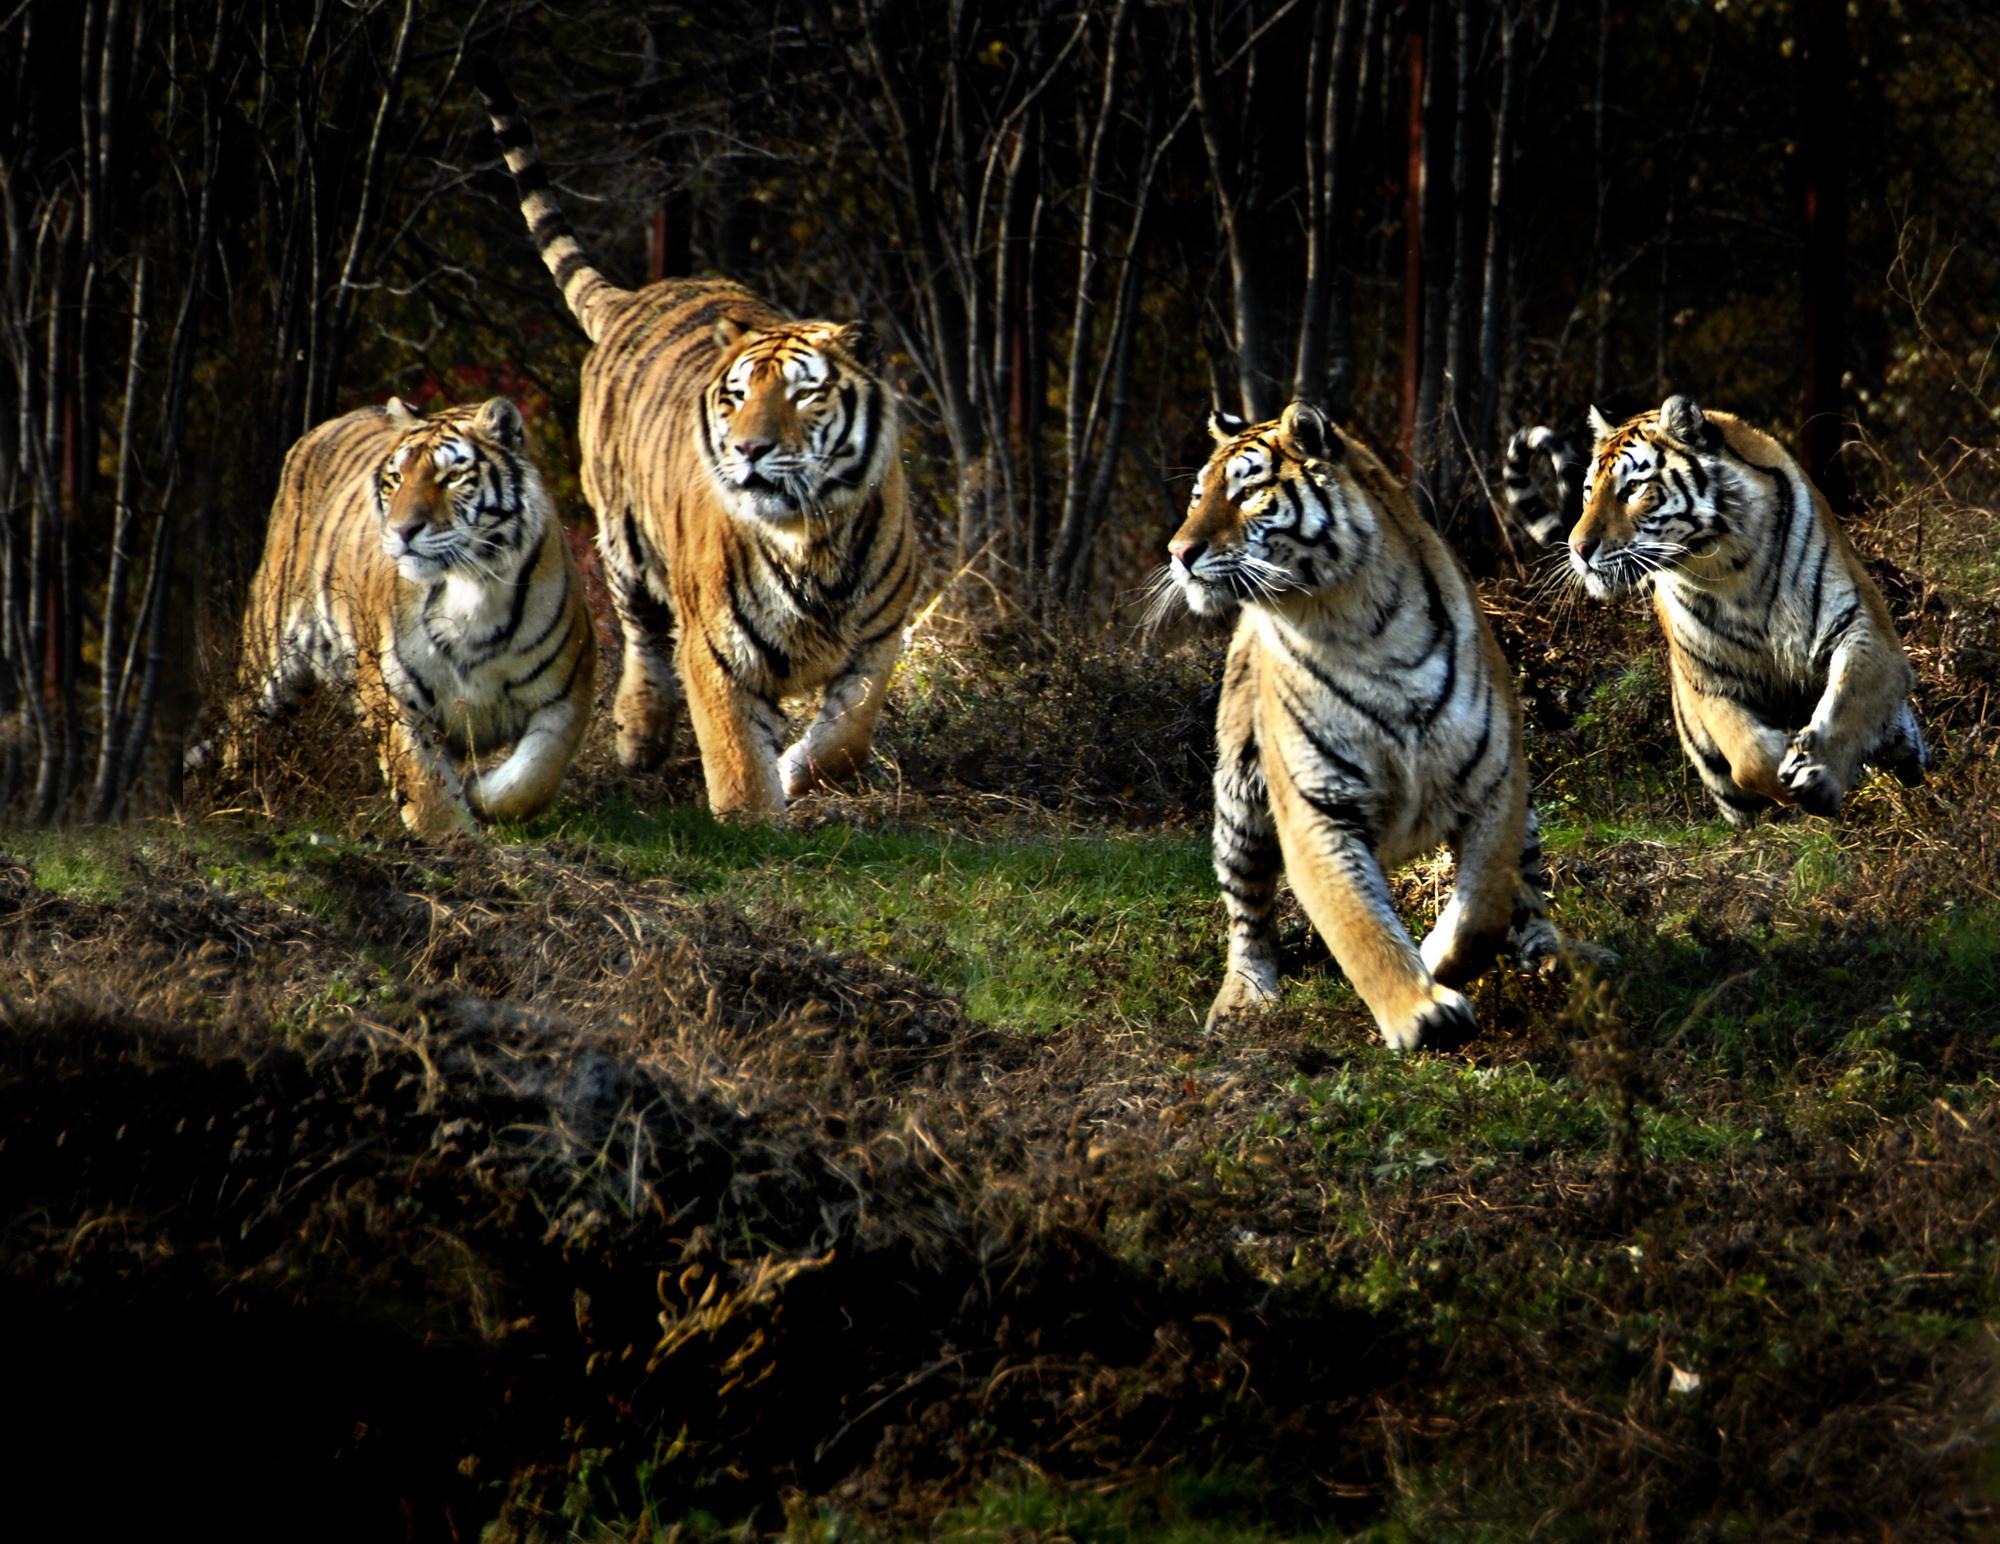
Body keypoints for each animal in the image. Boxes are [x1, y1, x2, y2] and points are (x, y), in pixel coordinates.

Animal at [199, 392, 596, 840]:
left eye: (452, 478)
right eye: (396, 479)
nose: (404, 530)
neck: (473, 586)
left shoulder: (567, 690)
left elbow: (534, 777)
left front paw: (481, 795)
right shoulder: (394, 693)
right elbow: (423, 783)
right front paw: (454, 840)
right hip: (268, 655)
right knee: (241, 725)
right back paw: (233, 800)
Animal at [468, 57, 916, 820]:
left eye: (804, 394)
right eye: (736, 398)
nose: (749, 449)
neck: (814, 541)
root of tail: (636, 297)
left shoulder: (878, 641)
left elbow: (846, 738)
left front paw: (797, 769)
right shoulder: (716, 648)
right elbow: (734, 750)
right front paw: (752, 819)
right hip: (622, 540)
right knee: (643, 636)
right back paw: (640, 735)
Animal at [1168, 402, 1568, 1048]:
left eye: (1248, 492)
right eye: (1198, 496)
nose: (1178, 552)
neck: (1359, 626)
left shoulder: (1495, 783)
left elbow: (1484, 905)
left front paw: (1436, 956)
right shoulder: (1316, 809)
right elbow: (1358, 924)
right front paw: (1420, 1011)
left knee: (1528, 891)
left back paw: (1549, 952)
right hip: (1240, 801)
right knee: (1248, 911)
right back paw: (1243, 1000)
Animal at [1504, 398, 1920, 828]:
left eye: (1633, 488)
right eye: (1589, 492)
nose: (1578, 548)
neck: (1727, 568)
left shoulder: (1861, 629)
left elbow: (1849, 701)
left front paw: (1818, 774)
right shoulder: (1709, 680)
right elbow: (1748, 756)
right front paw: (1787, 765)